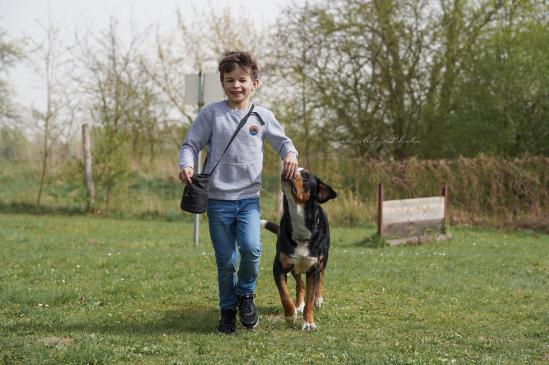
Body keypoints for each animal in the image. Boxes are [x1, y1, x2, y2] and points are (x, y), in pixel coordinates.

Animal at [260, 168, 336, 330]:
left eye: (306, 176)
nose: (288, 168)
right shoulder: (279, 268)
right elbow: (284, 294)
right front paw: (290, 314)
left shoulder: (313, 269)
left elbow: (310, 298)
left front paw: (309, 323)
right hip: (296, 267)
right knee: (300, 284)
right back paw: (299, 304)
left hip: (323, 260)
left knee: (321, 277)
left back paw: (318, 299)